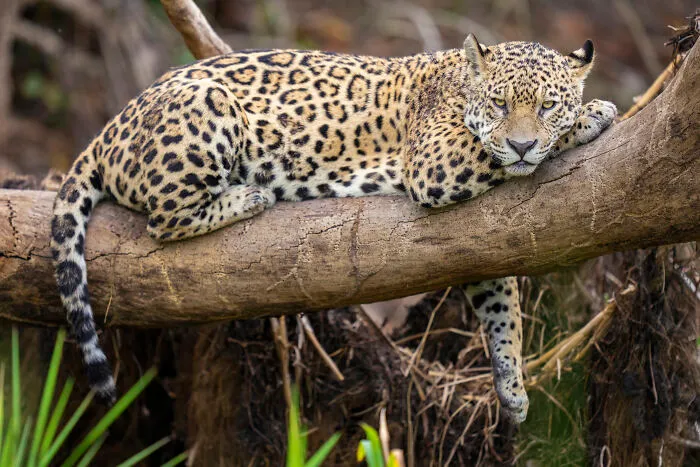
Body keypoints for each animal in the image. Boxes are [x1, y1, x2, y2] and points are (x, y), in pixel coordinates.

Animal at [50, 34, 617, 423]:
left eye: (546, 104)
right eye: (500, 104)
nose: (523, 145)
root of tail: (107, 127)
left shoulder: (482, 246)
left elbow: (503, 309)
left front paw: (512, 384)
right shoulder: (435, 160)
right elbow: (492, 151)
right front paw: (592, 114)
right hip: (208, 107)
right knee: (163, 220)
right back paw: (249, 195)